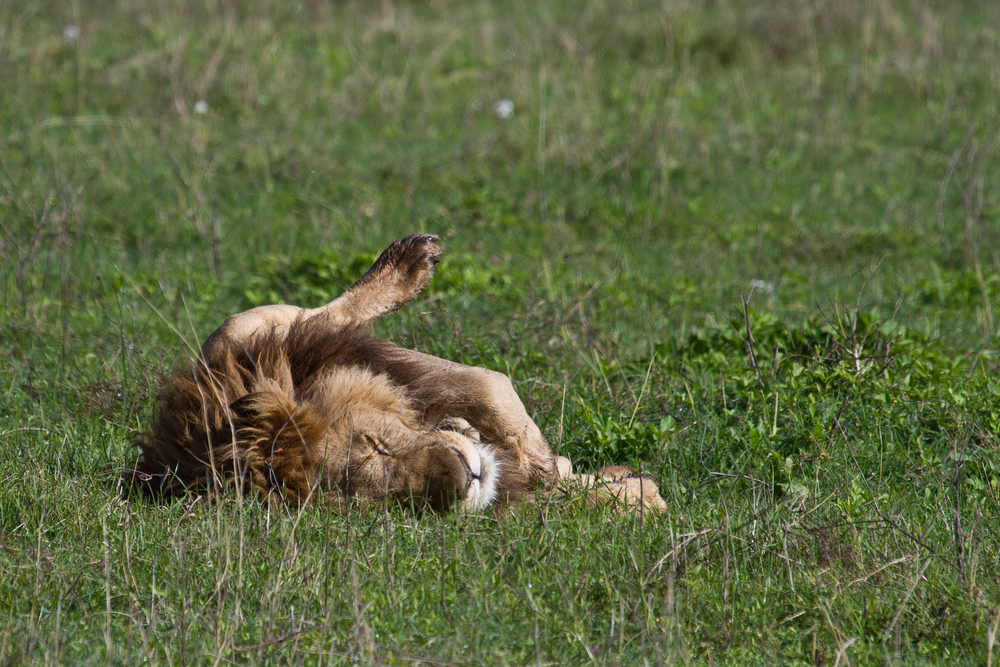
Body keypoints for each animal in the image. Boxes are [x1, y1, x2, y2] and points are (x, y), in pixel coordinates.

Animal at [131, 237, 664, 516]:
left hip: (239, 332)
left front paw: (548, 464)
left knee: (321, 315)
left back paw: (409, 263)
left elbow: (492, 389)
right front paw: (627, 493)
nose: (467, 477)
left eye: (375, 445)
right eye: (394, 502)